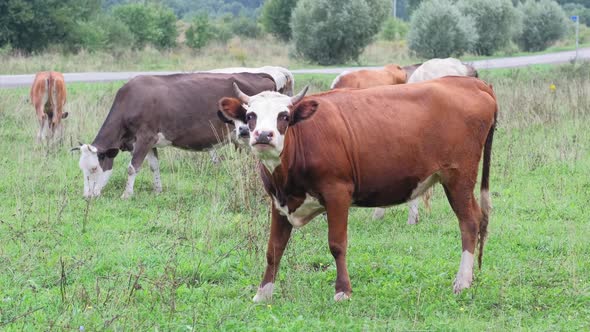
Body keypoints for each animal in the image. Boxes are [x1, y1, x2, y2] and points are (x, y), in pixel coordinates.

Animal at [76, 68, 294, 197]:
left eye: (94, 168)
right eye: (82, 169)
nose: (87, 196)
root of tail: (261, 74)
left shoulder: (144, 137)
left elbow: (132, 168)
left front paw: (126, 195)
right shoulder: (150, 141)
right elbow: (154, 166)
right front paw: (158, 190)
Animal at [221, 76, 500, 302]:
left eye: (284, 116)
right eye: (250, 116)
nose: (263, 135)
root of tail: (471, 82)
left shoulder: (337, 194)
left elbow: (337, 244)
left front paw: (342, 291)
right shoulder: (278, 202)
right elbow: (274, 249)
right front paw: (262, 293)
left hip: (459, 178)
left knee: (469, 222)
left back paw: (462, 282)